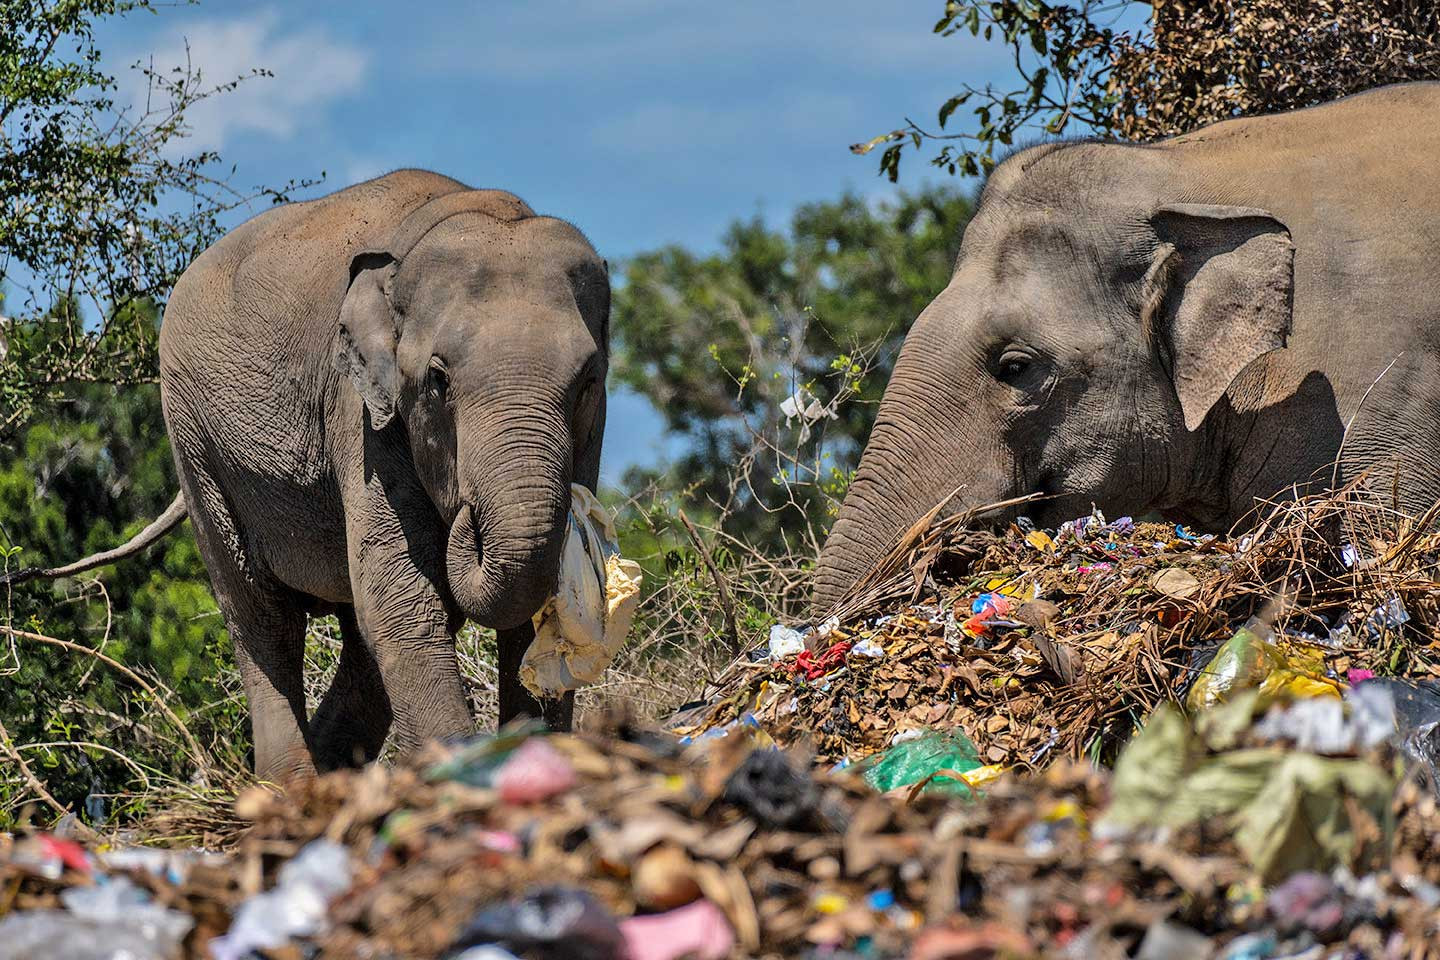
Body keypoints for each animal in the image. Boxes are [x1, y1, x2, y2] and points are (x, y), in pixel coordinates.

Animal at [119, 169, 604, 783]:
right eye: (438, 381)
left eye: (589, 380)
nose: (465, 515)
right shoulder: (362, 415)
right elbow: (404, 605)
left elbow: (532, 618)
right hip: (195, 444)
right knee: (262, 619)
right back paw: (292, 787)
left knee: (352, 637)